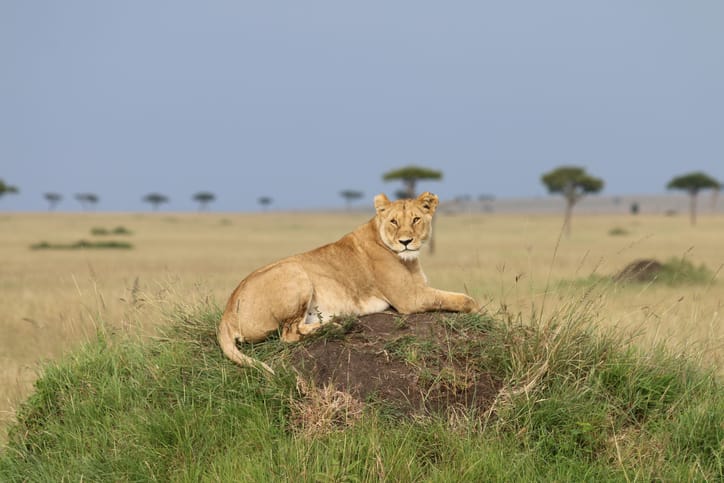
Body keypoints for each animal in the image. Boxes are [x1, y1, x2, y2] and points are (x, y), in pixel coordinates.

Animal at [218, 192, 478, 373]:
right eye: (394, 222)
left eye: (415, 219)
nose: (405, 242)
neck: (407, 259)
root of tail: (226, 315)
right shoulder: (410, 299)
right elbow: (463, 299)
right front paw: (479, 310)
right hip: (295, 271)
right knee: (290, 334)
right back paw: (337, 326)